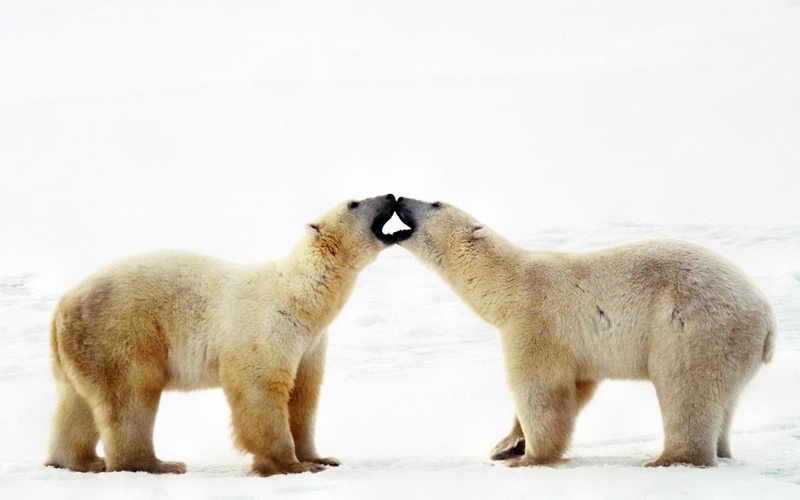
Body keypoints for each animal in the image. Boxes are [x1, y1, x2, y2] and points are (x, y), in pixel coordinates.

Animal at [45, 194, 399, 476]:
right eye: (354, 202)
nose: (390, 195)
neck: (300, 297)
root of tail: (62, 304)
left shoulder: (311, 342)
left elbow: (304, 393)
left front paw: (321, 457)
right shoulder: (267, 326)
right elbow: (262, 388)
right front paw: (291, 465)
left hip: (80, 348)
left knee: (75, 404)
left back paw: (79, 461)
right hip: (120, 331)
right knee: (130, 395)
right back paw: (157, 464)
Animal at [392, 196, 776, 468]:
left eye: (434, 202)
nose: (399, 198)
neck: (507, 283)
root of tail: (768, 319)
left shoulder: (537, 322)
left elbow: (541, 389)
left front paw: (530, 457)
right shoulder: (577, 348)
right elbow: (577, 387)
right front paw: (507, 444)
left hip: (694, 326)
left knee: (685, 388)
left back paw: (669, 459)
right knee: (724, 401)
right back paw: (721, 450)